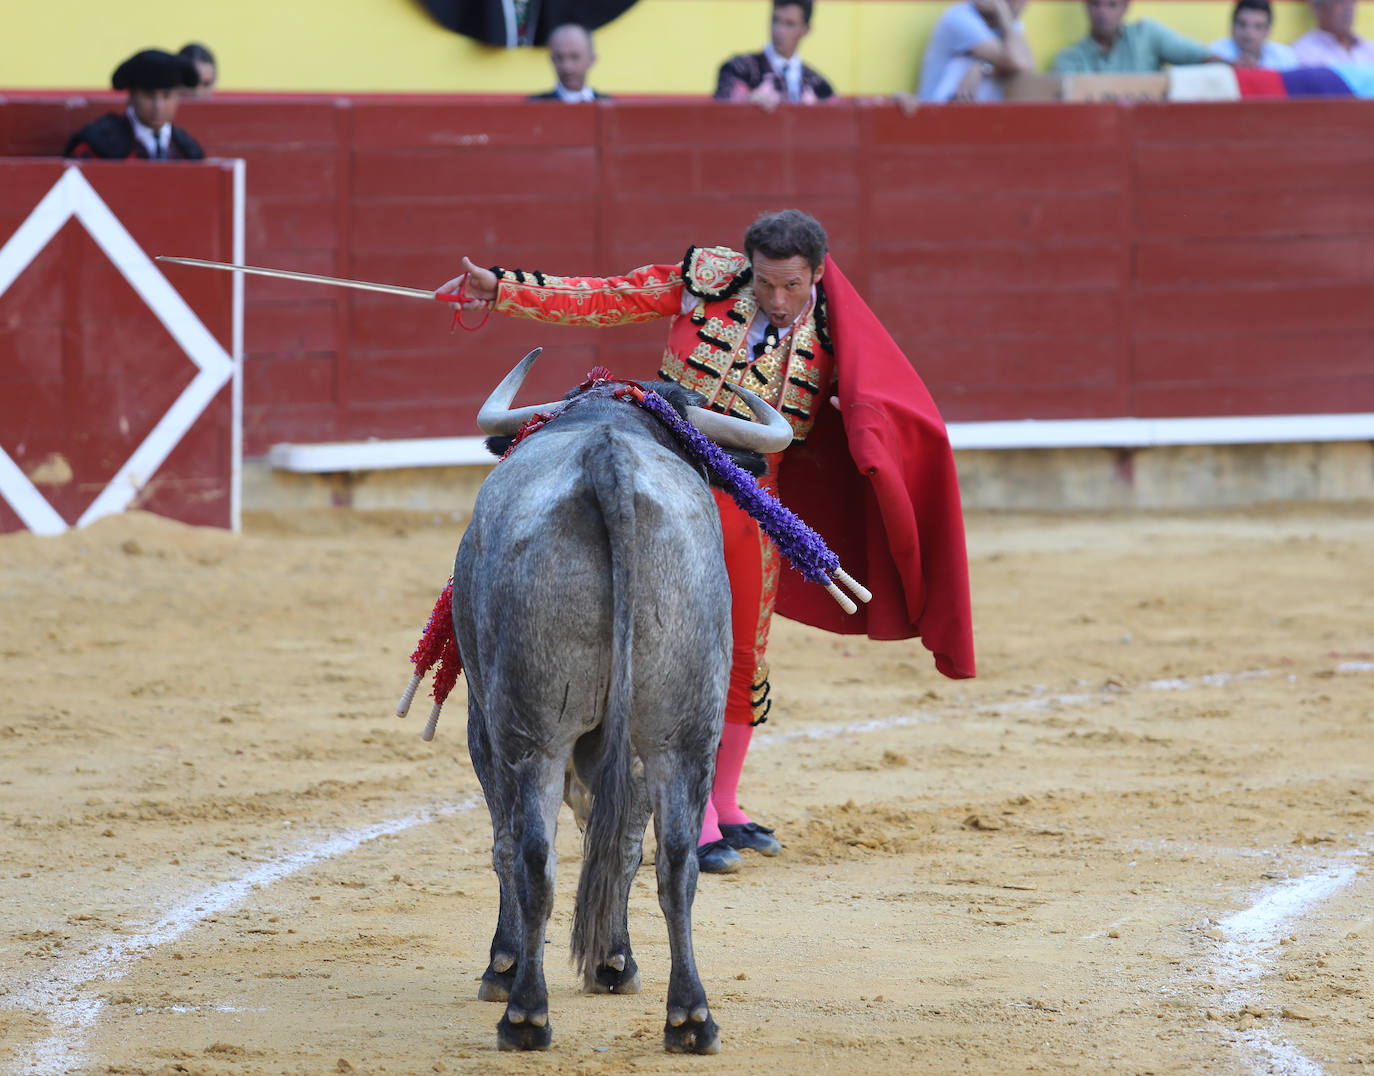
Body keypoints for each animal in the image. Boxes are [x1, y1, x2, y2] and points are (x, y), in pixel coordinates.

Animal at [453, 351, 796, 1049]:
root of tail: (605, 461)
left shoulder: (483, 723)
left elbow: (513, 841)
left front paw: (505, 965)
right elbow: (622, 837)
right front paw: (614, 959)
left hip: (528, 730)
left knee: (531, 855)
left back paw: (524, 1012)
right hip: (681, 730)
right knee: (673, 859)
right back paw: (690, 1017)